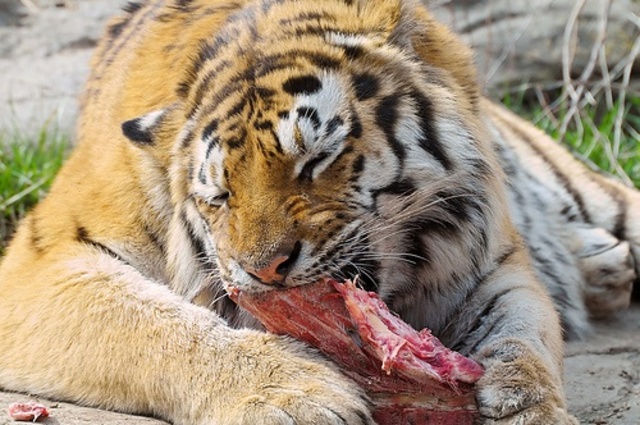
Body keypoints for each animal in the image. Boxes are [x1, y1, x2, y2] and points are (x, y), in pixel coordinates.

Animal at [1, 0, 638, 423]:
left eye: (315, 161)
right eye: (221, 195)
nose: (263, 270)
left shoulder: (493, 264)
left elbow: (523, 338)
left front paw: (527, 405)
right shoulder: (44, 260)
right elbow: (163, 329)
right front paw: (295, 396)